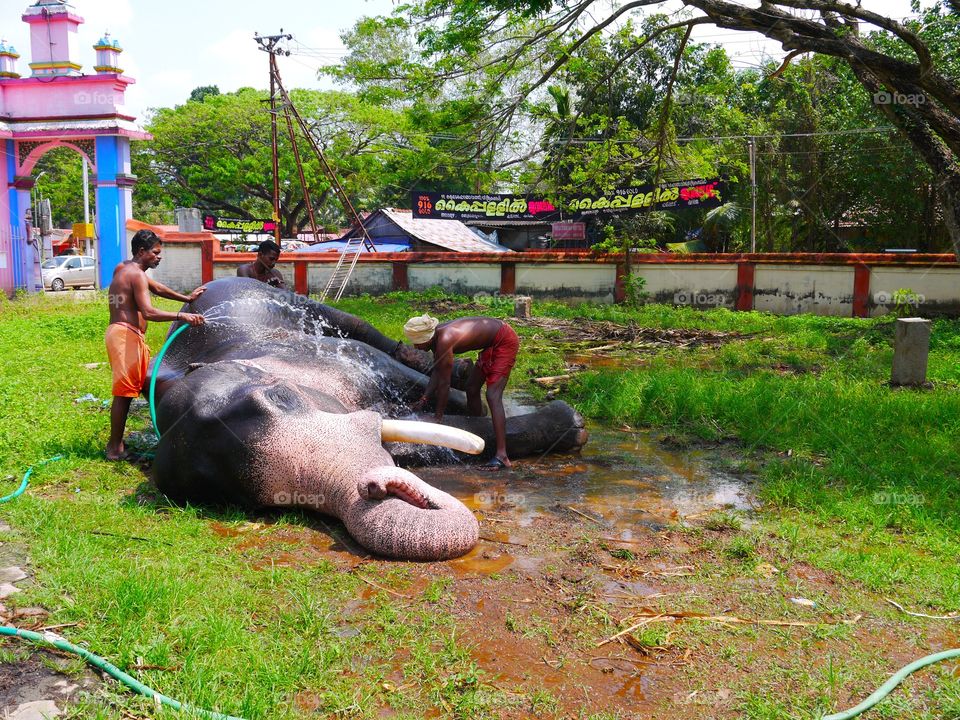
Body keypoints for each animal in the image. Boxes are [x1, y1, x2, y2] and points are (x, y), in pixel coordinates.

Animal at [149, 278, 584, 560]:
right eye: (262, 505)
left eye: (279, 398)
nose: (375, 486)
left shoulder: (333, 359)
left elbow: (420, 392)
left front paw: (572, 424)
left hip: (288, 300)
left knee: (361, 327)